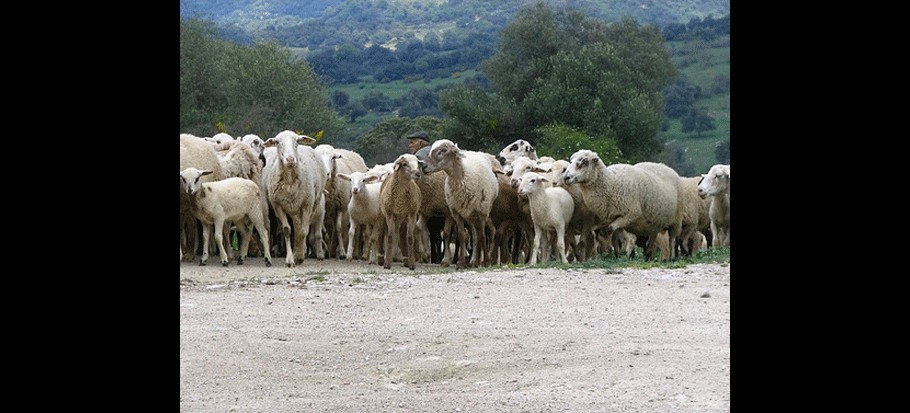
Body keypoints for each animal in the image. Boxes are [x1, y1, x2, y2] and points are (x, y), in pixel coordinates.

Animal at [261, 130, 327, 267]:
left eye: (297, 141)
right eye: (277, 142)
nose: (290, 159)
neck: (290, 180)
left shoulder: (307, 205)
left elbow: (303, 232)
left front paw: (300, 256)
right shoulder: (278, 206)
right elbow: (287, 230)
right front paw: (290, 259)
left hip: (312, 204)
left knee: (301, 229)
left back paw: (300, 252)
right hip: (292, 208)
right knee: (296, 227)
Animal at [422, 139, 500, 268]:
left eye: (443, 150)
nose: (423, 166)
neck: (461, 177)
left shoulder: (482, 211)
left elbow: (482, 236)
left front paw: (486, 262)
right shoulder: (456, 212)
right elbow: (462, 236)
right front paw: (462, 262)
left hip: (482, 211)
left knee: (480, 235)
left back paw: (480, 261)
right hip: (469, 214)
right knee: (474, 235)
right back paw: (473, 261)